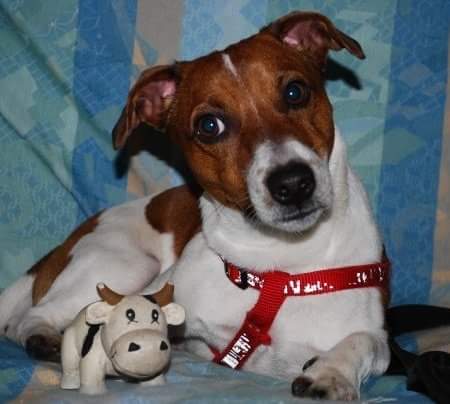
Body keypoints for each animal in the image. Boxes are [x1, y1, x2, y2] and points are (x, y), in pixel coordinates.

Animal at [0, 11, 390, 400]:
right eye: (209, 126)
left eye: (295, 92)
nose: (293, 184)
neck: (281, 268)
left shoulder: (377, 338)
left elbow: (364, 340)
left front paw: (331, 372)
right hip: (127, 265)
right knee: (31, 317)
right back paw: (43, 336)